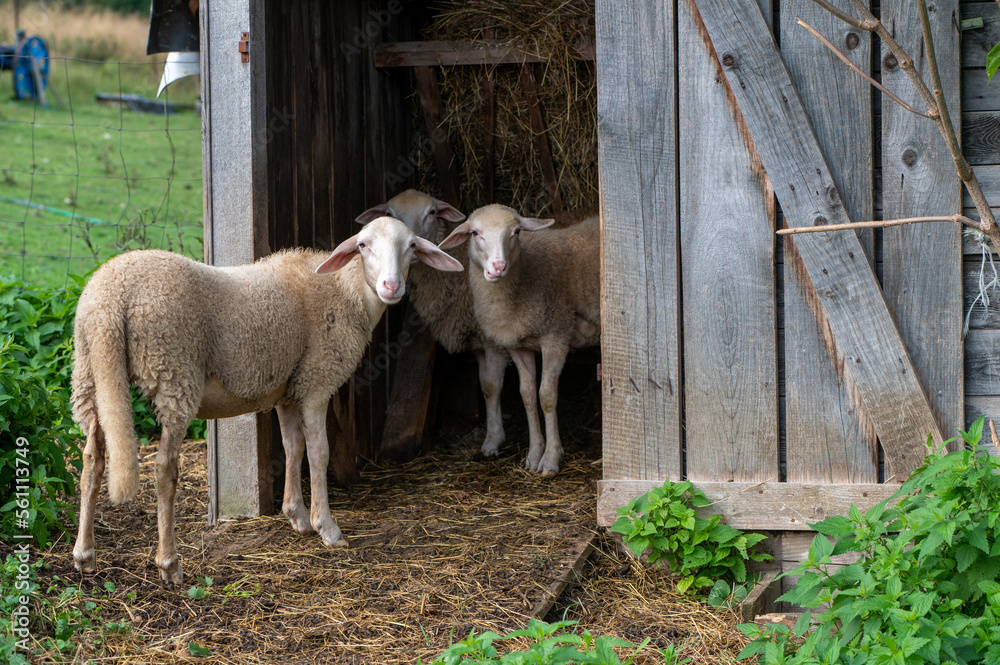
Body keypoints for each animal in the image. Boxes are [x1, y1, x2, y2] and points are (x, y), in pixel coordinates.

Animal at [70, 217, 463, 585]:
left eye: (412, 246)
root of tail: (111, 297)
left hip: (90, 372)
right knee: (165, 467)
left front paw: (297, 516)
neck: (344, 290)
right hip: (173, 371)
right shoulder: (316, 381)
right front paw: (327, 527)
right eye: (363, 245)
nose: (391, 287)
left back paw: (84, 554)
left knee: (92, 458)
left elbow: (292, 447)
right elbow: (318, 453)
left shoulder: (288, 388)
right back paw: (169, 563)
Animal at [355, 189, 515, 457]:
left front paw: (493, 441)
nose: (413, 244)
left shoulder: (494, 337)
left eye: (431, 212)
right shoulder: (478, 338)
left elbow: (493, 386)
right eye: (389, 214)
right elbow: (485, 385)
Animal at [439, 204, 600, 476]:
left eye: (516, 232)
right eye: (474, 233)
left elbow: (547, 396)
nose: (498, 267)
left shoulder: (556, 335)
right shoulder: (517, 344)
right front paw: (534, 455)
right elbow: (527, 395)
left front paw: (550, 459)